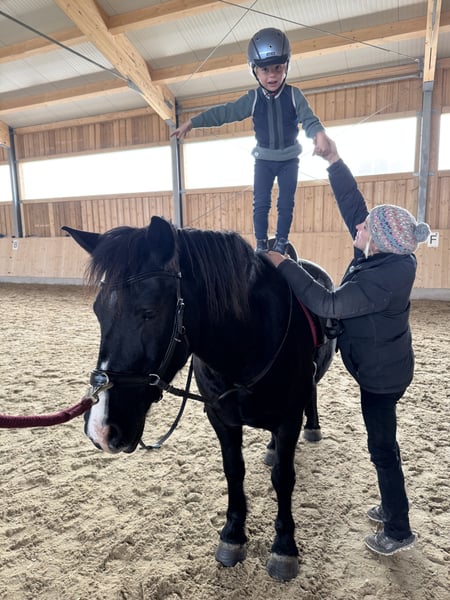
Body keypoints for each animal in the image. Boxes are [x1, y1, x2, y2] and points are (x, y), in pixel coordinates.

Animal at [63, 216, 335, 581]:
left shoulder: (289, 418)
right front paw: (233, 536)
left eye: (149, 312)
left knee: (313, 394)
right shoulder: (220, 417)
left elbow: (283, 478)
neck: (248, 343)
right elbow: (233, 470)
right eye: (97, 311)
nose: (101, 429)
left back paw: (313, 428)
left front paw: (284, 547)